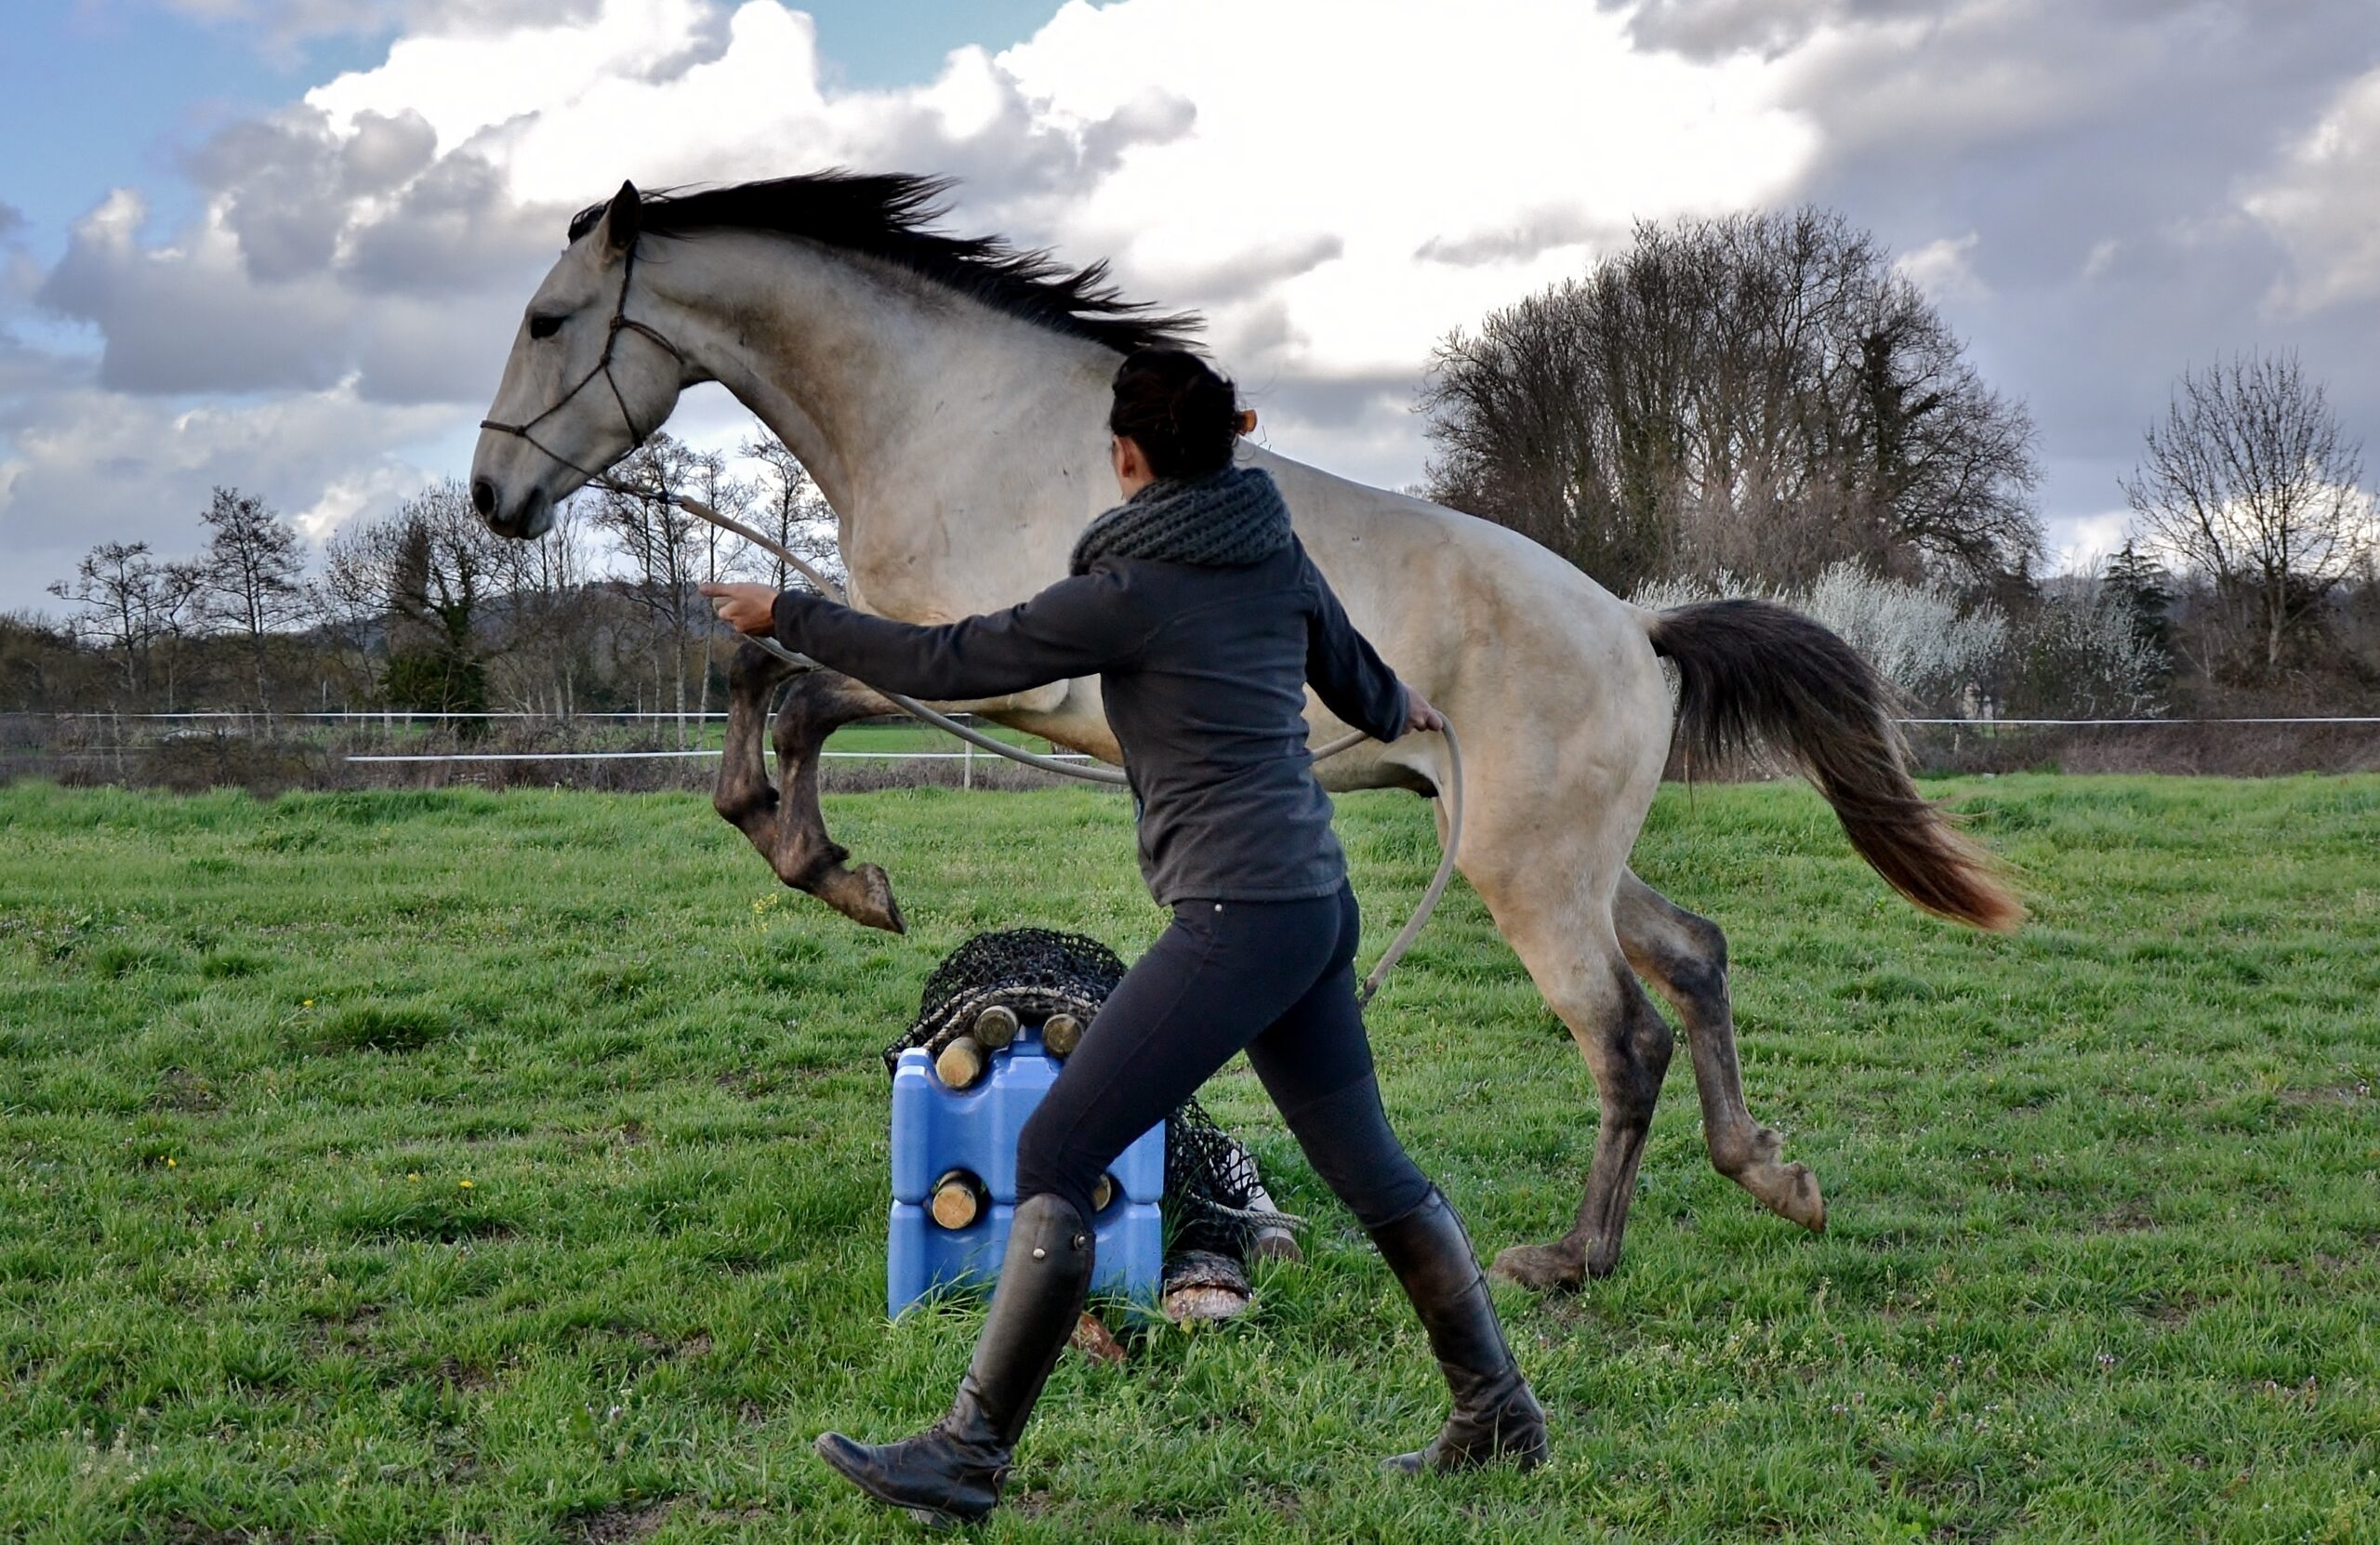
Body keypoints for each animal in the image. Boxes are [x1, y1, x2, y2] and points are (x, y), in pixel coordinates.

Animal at [459, 171, 2008, 1285]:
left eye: (547, 322)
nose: (491, 498)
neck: (956, 418)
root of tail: (1643, 636)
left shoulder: (983, 667)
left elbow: (788, 690)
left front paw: (839, 875)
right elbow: (768, 682)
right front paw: (832, 865)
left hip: (1530, 876)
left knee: (1626, 1035)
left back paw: (1574, 1261)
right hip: (1565, 861)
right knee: (1696, 959)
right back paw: (1771, 1177)